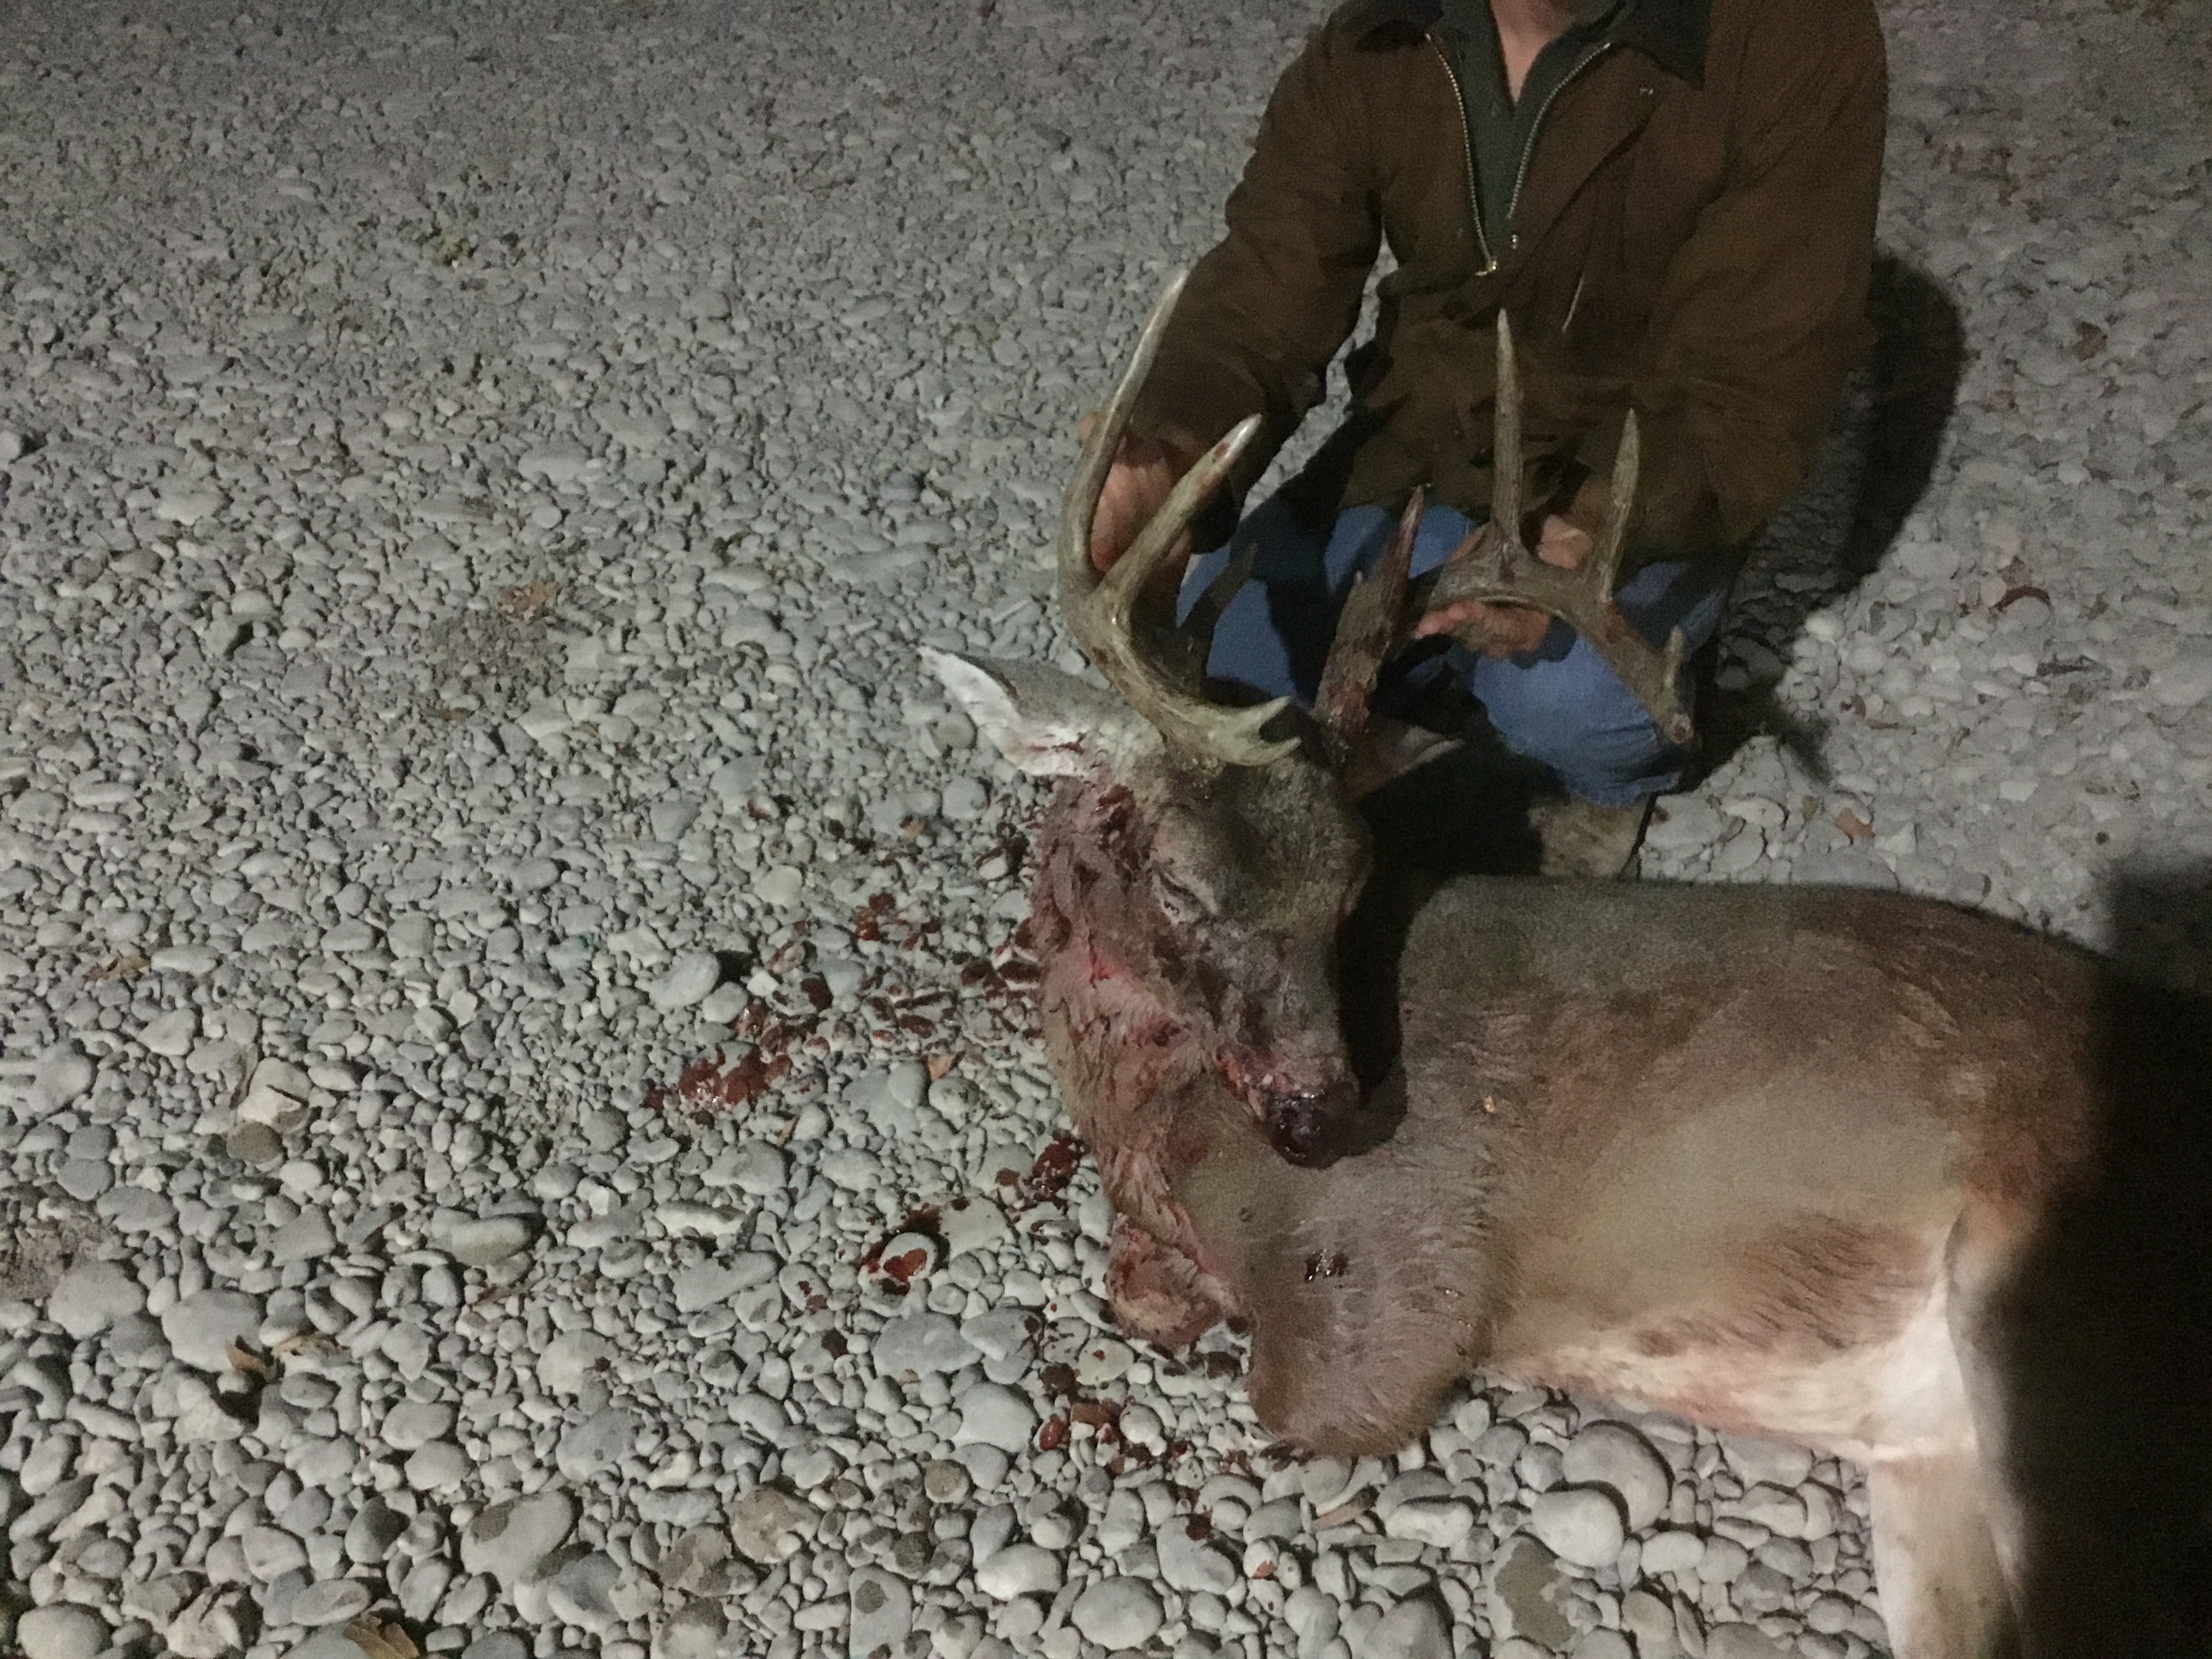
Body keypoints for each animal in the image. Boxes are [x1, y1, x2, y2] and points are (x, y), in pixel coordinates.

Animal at [923, 278, 2212, 1657]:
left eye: (1353, 879)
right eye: (1175, 880)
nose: (1327, 1114)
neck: (1148, 1119)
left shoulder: (1396, 1277)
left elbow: (1308, 1392)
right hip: (1938, 1460)